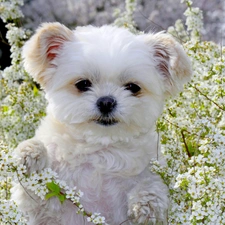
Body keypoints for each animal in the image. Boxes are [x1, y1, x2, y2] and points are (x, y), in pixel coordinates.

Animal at [11, 23, 192, 225]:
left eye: (133, 87)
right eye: (83, 84)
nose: (106, 102)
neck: (101, 150)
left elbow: (150, 183)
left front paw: (146, 202)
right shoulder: (42, 211)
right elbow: (34, 190)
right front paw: (30, 154)